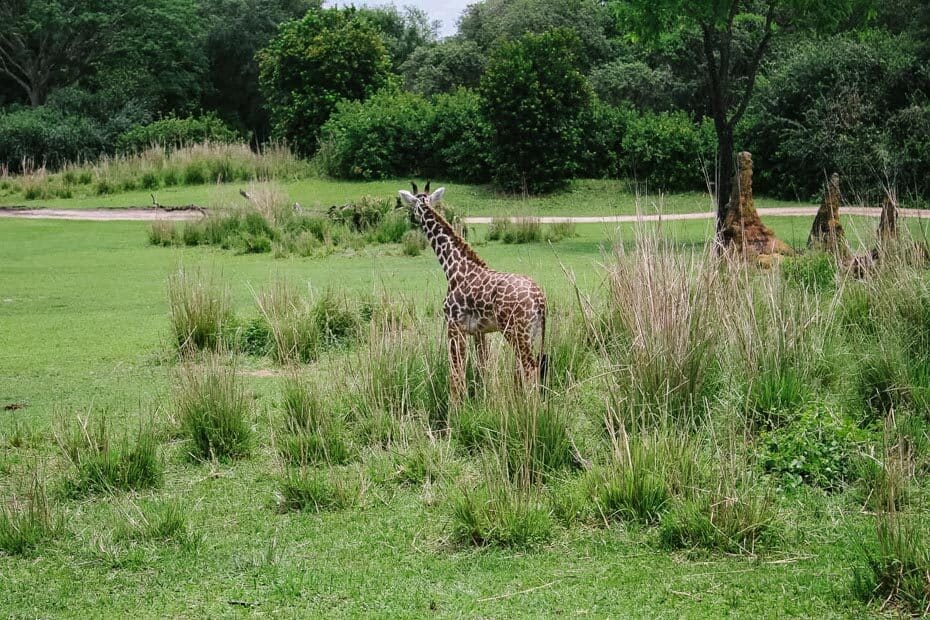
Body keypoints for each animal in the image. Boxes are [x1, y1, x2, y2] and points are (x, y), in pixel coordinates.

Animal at [396, 182, 544, 400]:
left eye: (411, 205)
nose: (410, 220)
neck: (452, 267)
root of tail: (540, 298)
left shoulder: (454, 325)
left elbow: (456, 371)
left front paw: (457, 406)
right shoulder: (479, 331)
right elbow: (482, 368)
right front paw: (481, 401)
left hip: (516, 331)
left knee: (530, 368)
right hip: (531, 333)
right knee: (527, 368)